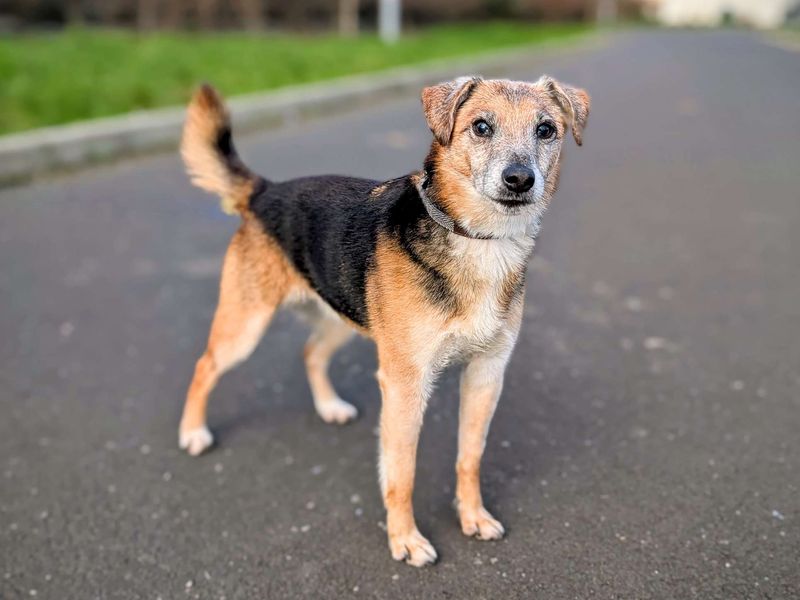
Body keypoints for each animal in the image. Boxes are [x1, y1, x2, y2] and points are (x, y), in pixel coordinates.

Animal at [177, 76, 588, 568]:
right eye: (481, 127)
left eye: (546, 130)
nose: (520, 179)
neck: (479, 241)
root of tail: (265, 191)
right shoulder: (405, 384)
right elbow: (402, 474)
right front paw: (405, 540)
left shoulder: (487, 373)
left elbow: (470, 457)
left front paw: (472, 516)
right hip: (245, 326)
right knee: (204, 366)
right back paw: (193, 432)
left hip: (338, 315)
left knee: (310, 352)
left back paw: (329, 407)